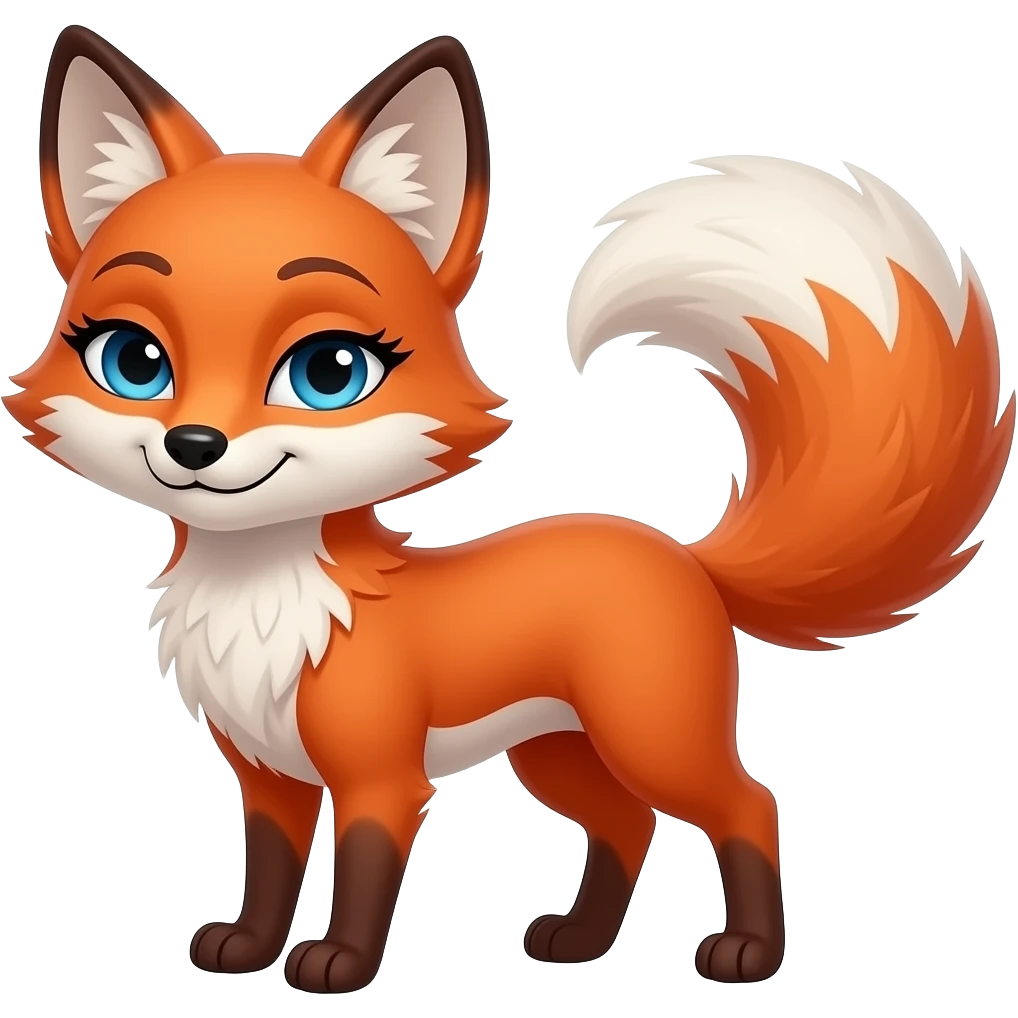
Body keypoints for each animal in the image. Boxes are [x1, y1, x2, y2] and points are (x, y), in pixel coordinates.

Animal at [8, 22, 1014, 995]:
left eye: (330, 372)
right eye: (133, 361)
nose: (195, 445)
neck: (264, 603)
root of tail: (685, 555)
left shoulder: (381, 776)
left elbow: (362, 873)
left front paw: (339, 966)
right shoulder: (267, 775)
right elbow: (270, 870)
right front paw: (249, 948)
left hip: (649, 735)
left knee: (746, 805)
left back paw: (748, 953)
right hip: (560, 754)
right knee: (629, 825)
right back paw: (580, 941)